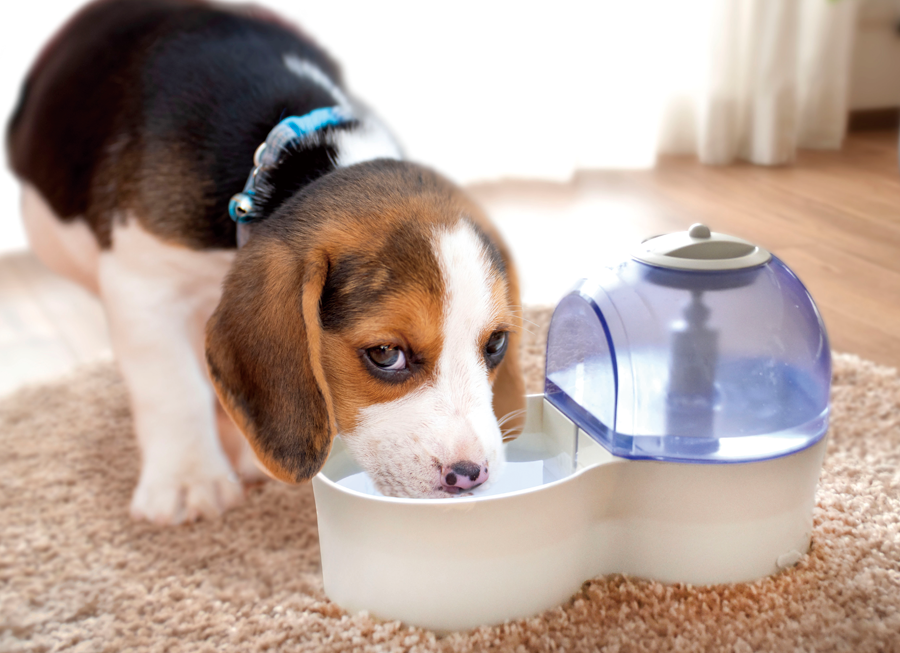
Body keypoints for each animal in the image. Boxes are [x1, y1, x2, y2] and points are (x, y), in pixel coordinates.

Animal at [7, 0, 524, 524]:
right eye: (385, 354)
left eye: (496, 344)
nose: (471, 475)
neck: (277, 163)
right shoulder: (143, 284)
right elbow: (172, 386)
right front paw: (188, 482)